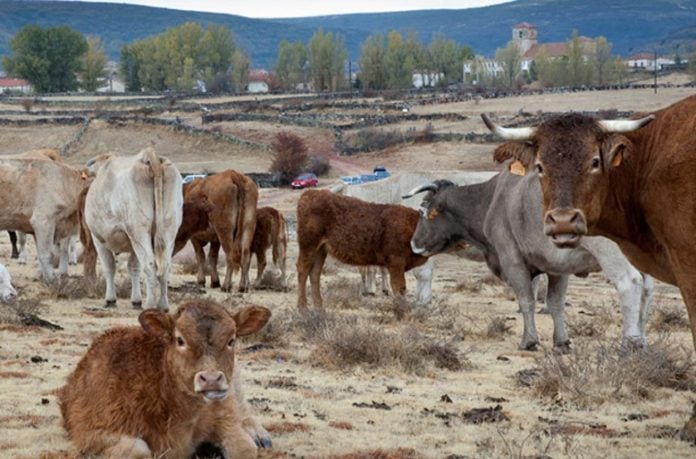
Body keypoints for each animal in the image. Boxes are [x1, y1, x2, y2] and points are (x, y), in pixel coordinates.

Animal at [59, 299, 272, 458]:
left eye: (231, 340)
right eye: (180, 340)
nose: (211, 379)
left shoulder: (225, 416)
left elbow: (245, 448)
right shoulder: (89, 432)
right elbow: (138, 449)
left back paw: (261, 435)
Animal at [84, 148, 183, 310]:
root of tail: (149, 156)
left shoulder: (98, 238)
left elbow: (109, 266)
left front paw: (110, 299)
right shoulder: (132, 244)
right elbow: (134, 267)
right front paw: (136, 300)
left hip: (139, 232)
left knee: (149, 264)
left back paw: (150, 304)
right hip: (168, 230)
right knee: (165, 265)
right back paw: (162, 304)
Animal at [296, 189, 428, 308]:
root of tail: (308, 194)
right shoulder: (396, 262)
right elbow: (399, 287)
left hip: (321, 250)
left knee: (314, 273)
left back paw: (319, 308)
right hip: (308, 245)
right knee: (302, 270)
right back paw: (303, 308)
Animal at [405, 171, 653, 351]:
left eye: (422, 212)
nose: (413, 243)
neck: (490, 200)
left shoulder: (512, 261)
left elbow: (526, 300)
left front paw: (529, 340)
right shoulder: (557, 269)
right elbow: (555, 303)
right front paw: (561, 341)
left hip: (612, 255)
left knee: (630, 284)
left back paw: (629, 343)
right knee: (646, 290)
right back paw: (641, 340)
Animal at [480, 96, 696, 349]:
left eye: (595, 162)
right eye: (540, 166)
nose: (562, 221)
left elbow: (527, 298)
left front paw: (530, 341)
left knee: (630, 283)